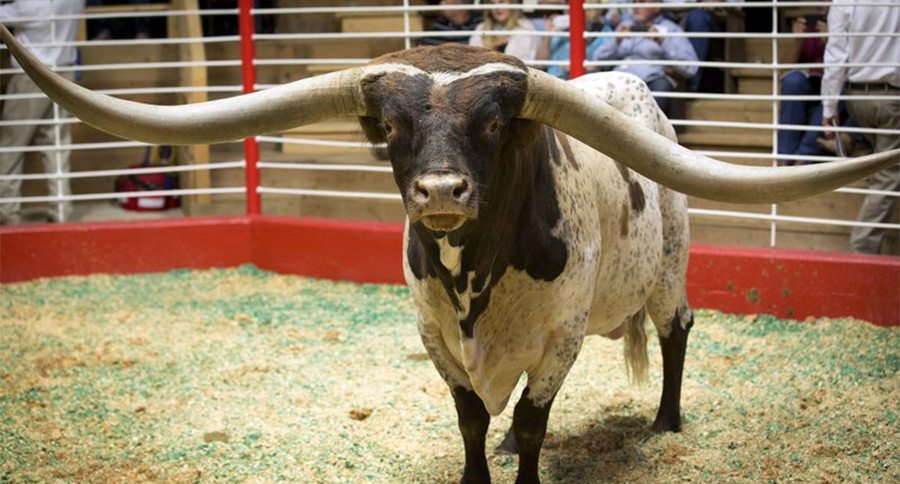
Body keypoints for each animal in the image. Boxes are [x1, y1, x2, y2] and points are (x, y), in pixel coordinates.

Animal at [2, 27, 897, 483]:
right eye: (394, 127)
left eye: (495, 124)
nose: (439, 191)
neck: (479, 281)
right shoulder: (435, 336)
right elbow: (473, 418)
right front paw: (480, 468)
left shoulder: (561, 339)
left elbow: (534, 422)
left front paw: (523, 465)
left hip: (669, 265)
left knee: (677, 330)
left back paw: (667, 419)